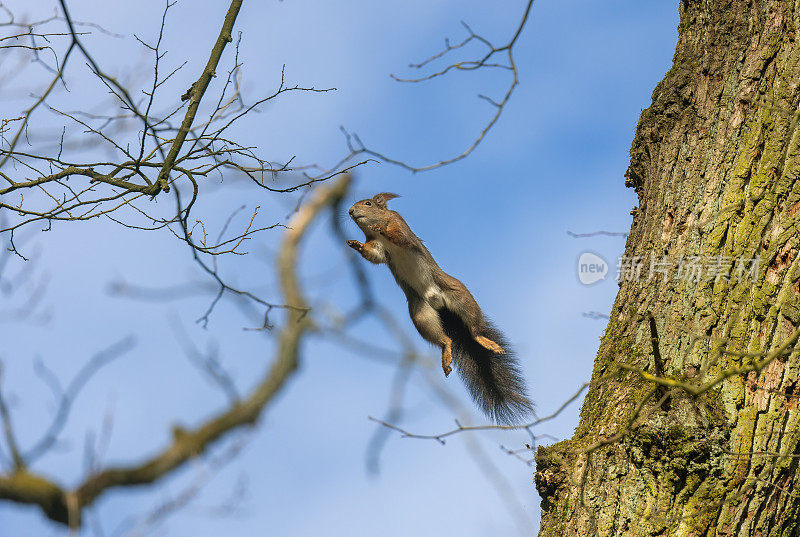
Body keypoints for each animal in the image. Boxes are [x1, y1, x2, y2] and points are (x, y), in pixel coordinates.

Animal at [346, 193, 528, 422]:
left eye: (368, 203)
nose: (350, 211)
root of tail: (437, 301)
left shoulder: (399, 224)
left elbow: (402, 238)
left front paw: (382, 228)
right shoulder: (377, 246)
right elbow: (373, 255)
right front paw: (355, 244)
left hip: (459, 295)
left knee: (474, 328)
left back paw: (484, 340)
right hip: (420, 314)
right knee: (445, 339)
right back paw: (446, 352)